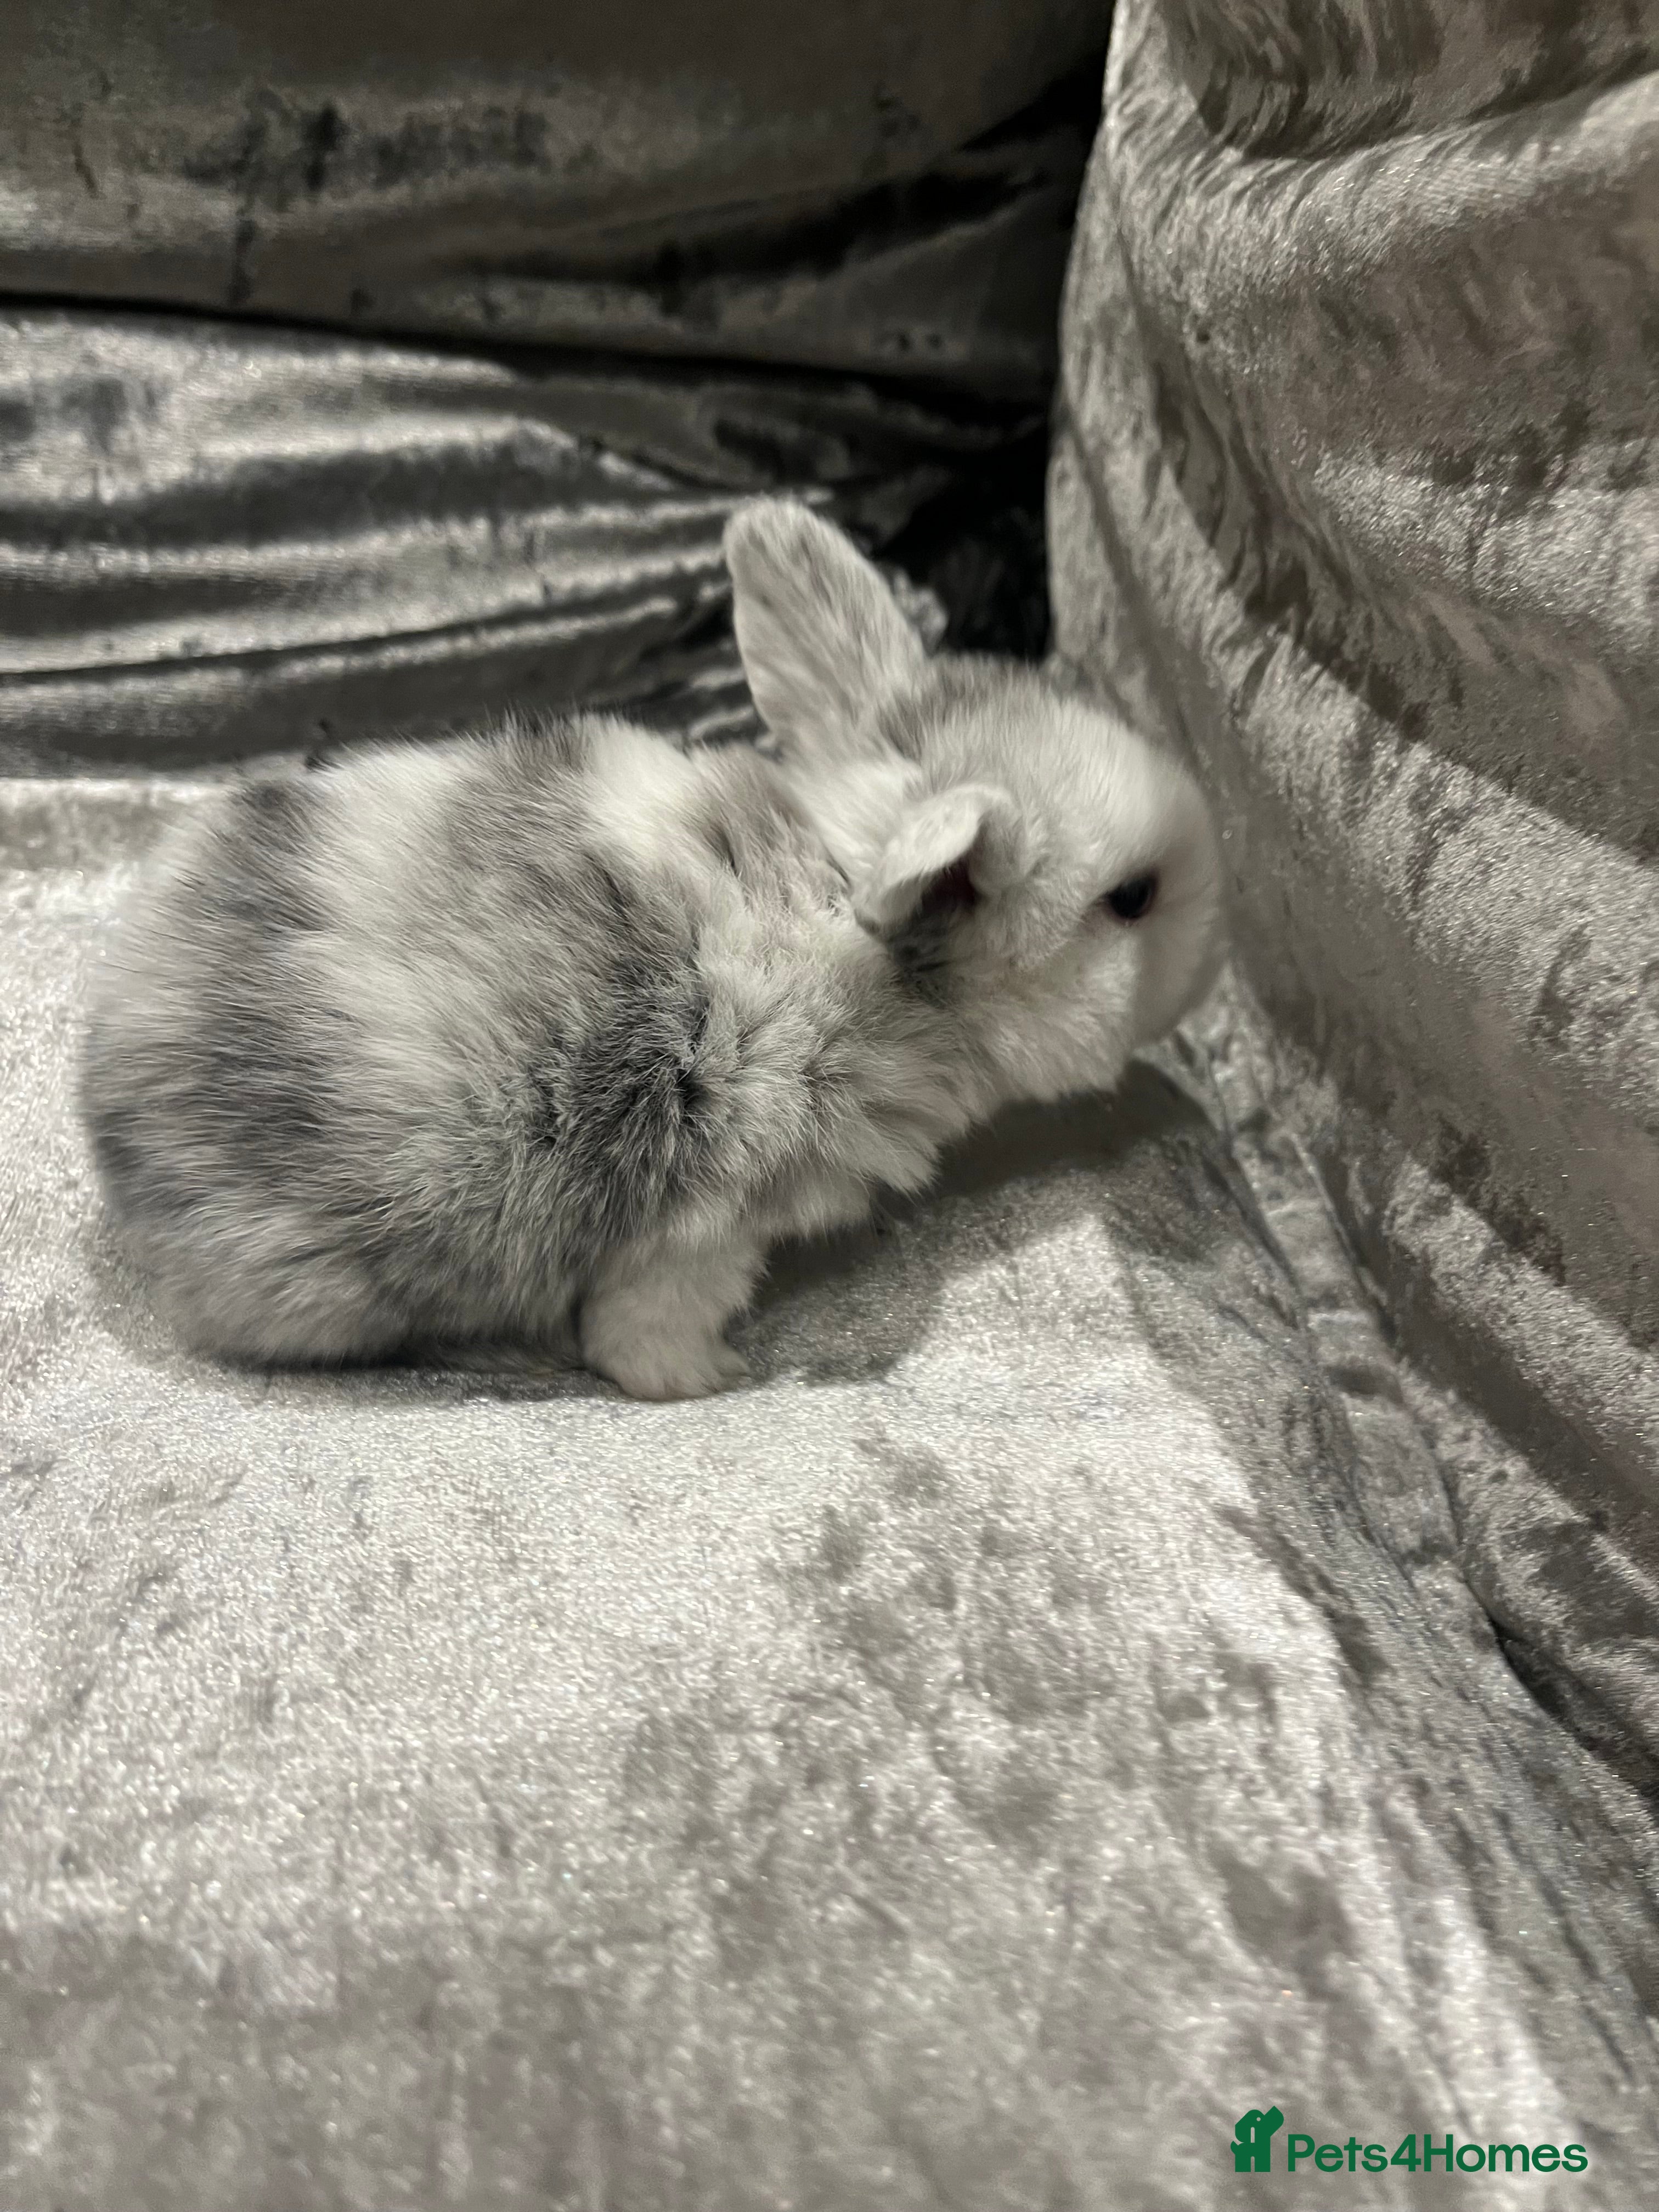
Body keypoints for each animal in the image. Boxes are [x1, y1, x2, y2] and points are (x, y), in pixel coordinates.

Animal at [80, 499, 1225, 1400]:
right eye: (1131, 899)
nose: (1212, 969)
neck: (860, 947)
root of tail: (108, 1099)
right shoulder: (703, 1224)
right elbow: (643, 1337)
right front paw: (713, 1380)